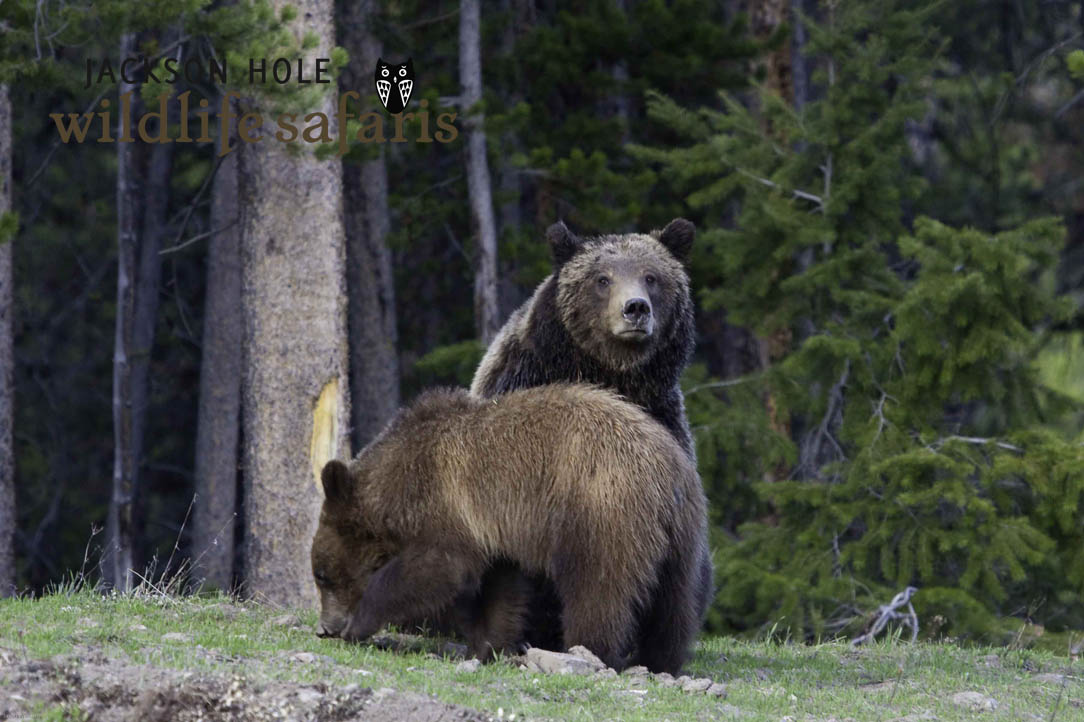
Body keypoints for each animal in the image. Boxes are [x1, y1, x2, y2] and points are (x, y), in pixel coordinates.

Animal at [310, 385, 711, 672]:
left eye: (322, 576)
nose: (326, 628)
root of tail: (666, 469)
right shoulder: (494, 535)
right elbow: (501, 590)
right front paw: (490, 645)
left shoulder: (445, 504)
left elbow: (441, 569)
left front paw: (359, 623)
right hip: (681, 534)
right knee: (673, 601)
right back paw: (660, 660)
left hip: (600, 509)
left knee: (598, 590)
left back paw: (590, 650)